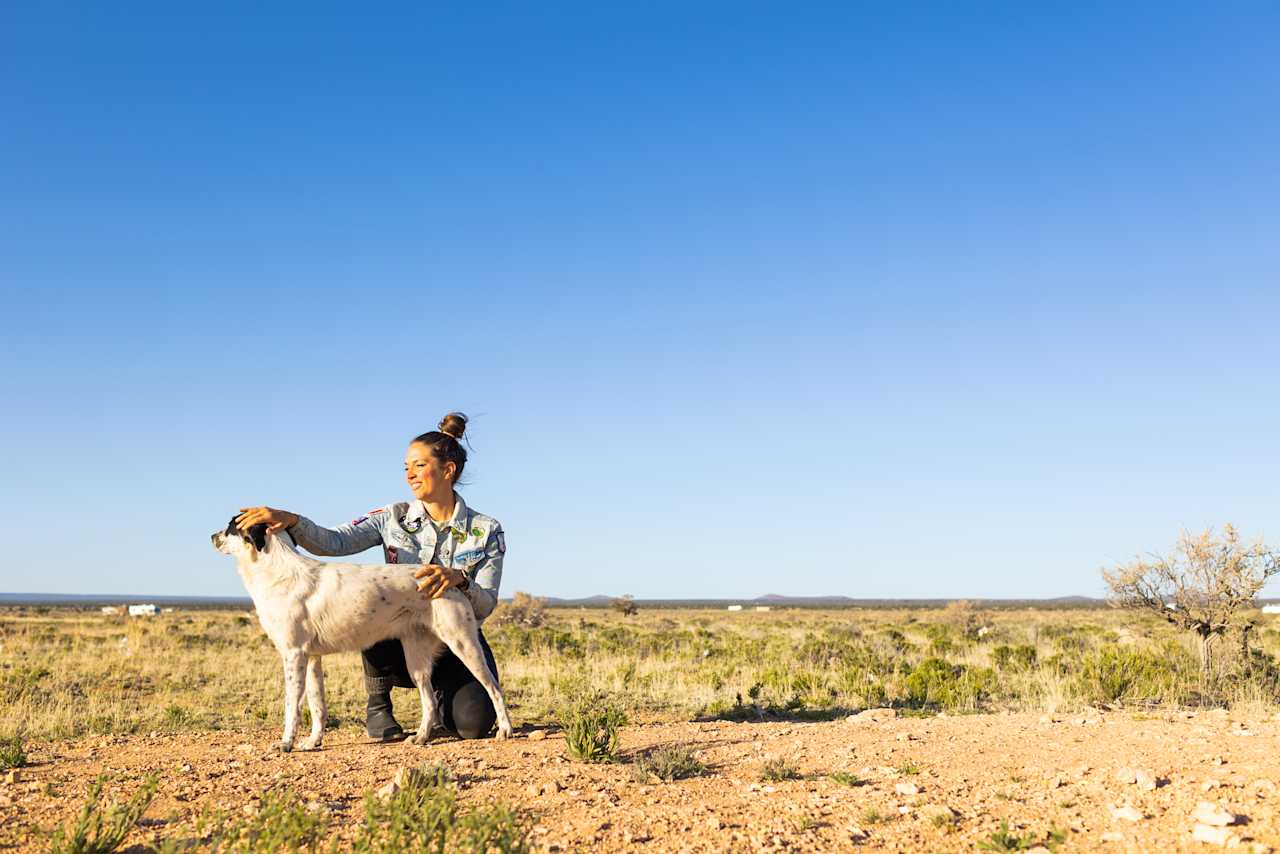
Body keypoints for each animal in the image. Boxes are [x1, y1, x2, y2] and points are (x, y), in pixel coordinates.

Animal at [212, 517, 512, 752]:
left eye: (230, 527)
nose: (212, 537)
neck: (277, 569)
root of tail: (448, 578)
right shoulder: (311, 659)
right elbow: (317, 705)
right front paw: (312, 742)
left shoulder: (293, 655)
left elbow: (291, 707)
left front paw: (286, 743)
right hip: (416, 659)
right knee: (428, 701)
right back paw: (421, 737)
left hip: (464, 644)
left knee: (494, 688)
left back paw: (505, 730)